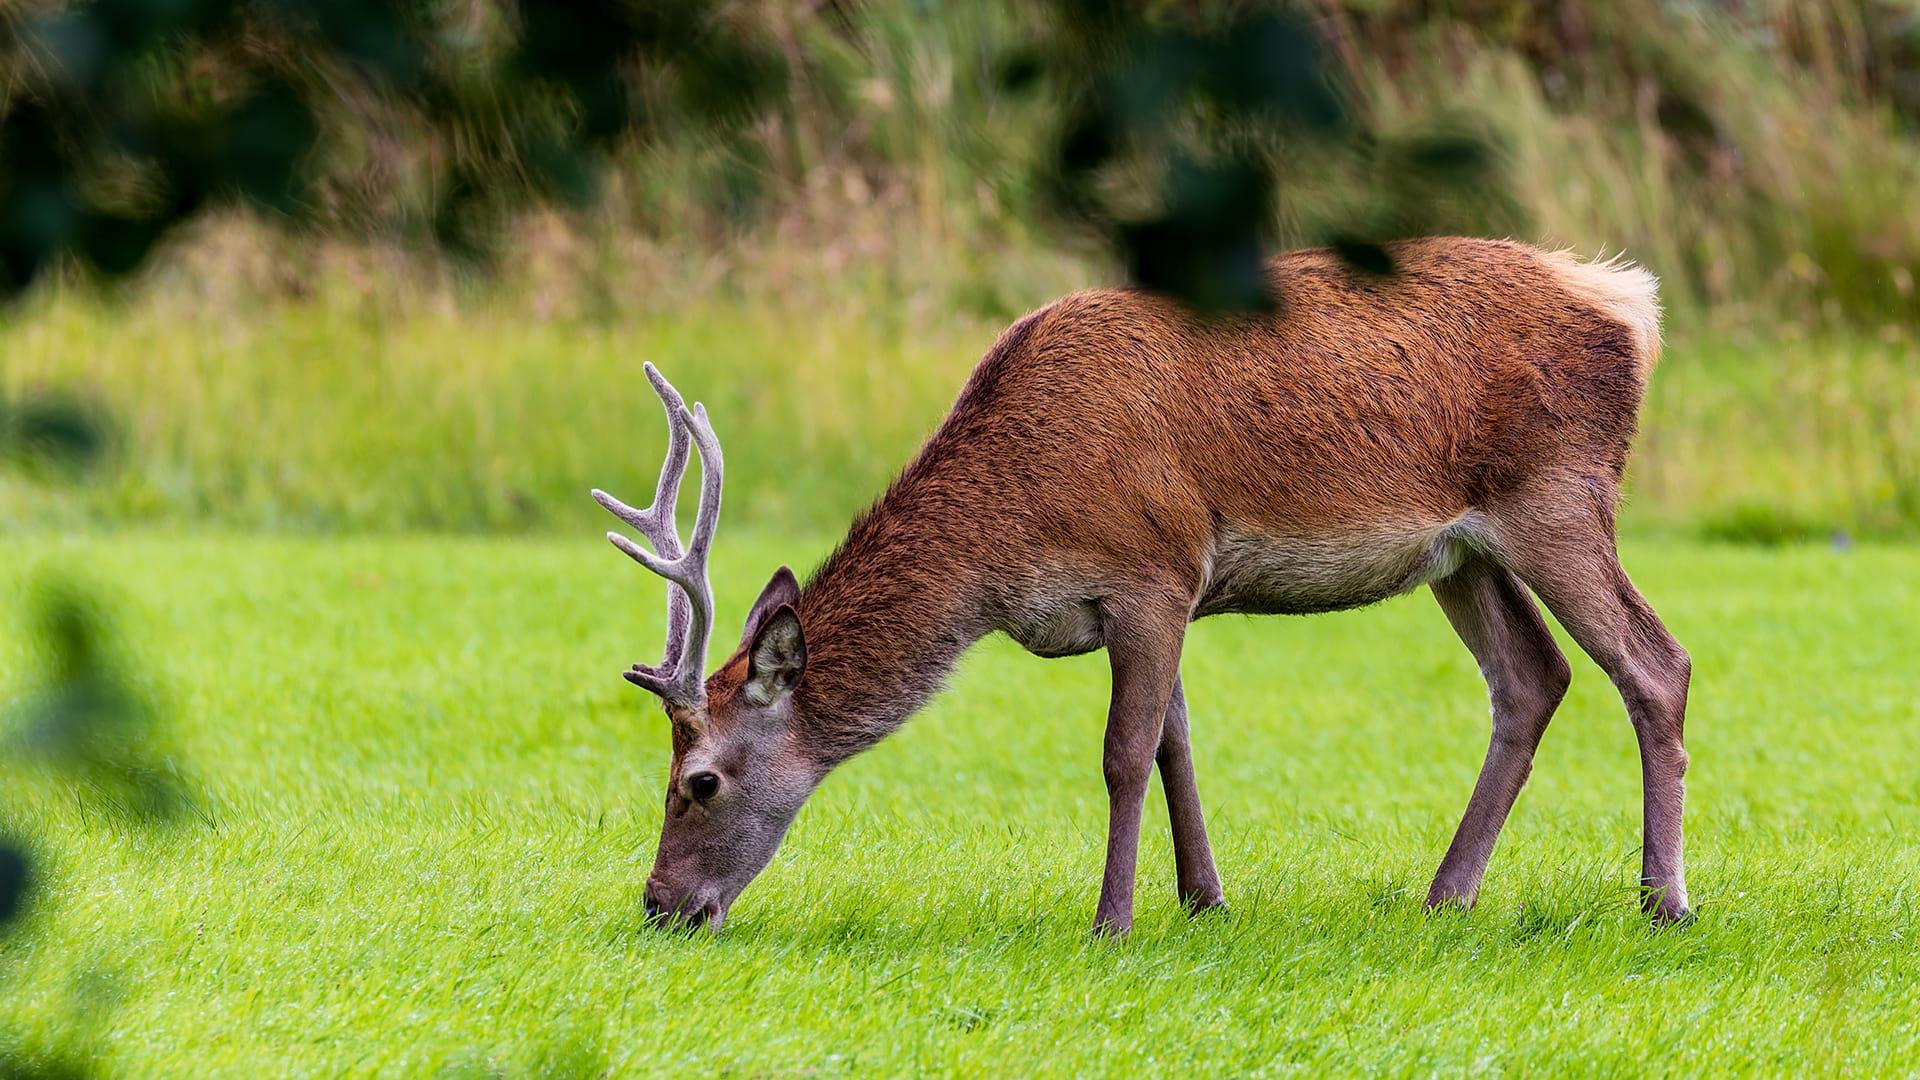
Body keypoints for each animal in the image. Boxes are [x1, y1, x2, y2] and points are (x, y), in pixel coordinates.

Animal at [593, 236, 1691, 936]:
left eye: (698, 781)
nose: (659, 905)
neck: (1009, 542)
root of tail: (1632, 305)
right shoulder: (1161, 592)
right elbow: (1175, 738)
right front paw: (1205, 900)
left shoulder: (1153, 567)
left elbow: (1125, 752)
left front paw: (1112, 920)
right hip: (1463, 553)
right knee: (1533, 679)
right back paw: (1446, 894)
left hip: (1558, 496)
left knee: (1656, 665)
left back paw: (1664, 901)